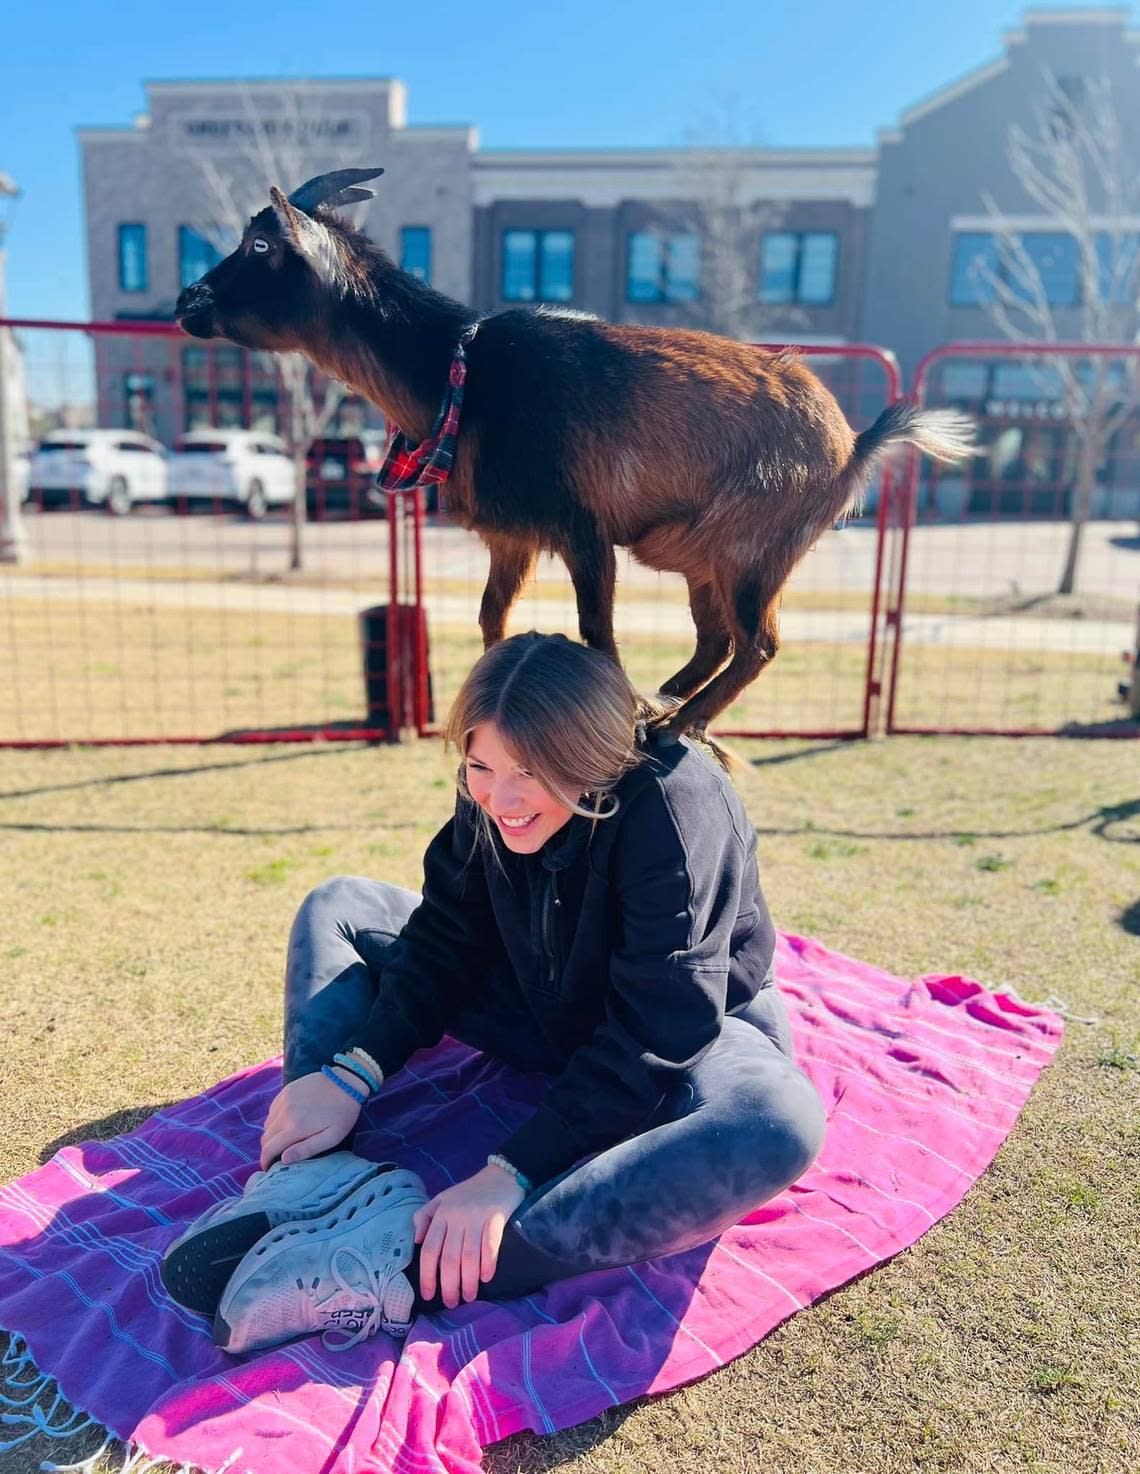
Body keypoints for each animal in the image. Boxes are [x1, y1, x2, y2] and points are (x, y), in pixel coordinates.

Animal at [175, 169, 967, 734]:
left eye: (259, 246)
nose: (187, 302)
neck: (461, 374)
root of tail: (855, 443)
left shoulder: (583, 533)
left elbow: (597, 636)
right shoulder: (512, 539)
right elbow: (491, 620)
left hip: (752, 550)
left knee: (759, 644)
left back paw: (676, 723)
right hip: (699, 558)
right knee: (717, 638)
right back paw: (672, 694)